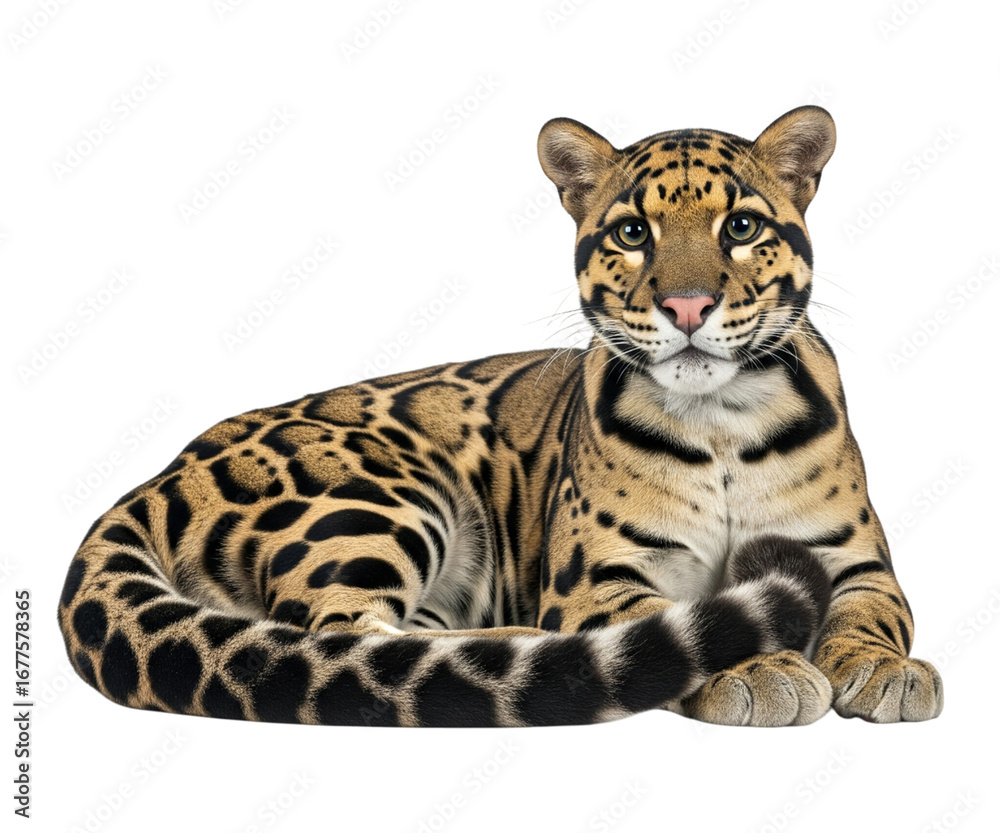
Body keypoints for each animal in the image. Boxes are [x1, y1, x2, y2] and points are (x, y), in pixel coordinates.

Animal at [57, 106, 943, 727]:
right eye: (632, 232)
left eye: (743, 226)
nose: (687, 305)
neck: (718, 416)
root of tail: (164, 471)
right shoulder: (598, 578)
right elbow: (668, 616)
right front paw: (754, 667)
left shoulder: (855, 556)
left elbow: (873, 612)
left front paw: (886, 670)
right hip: (379, 492)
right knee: (348, 637)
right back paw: (536, 650)